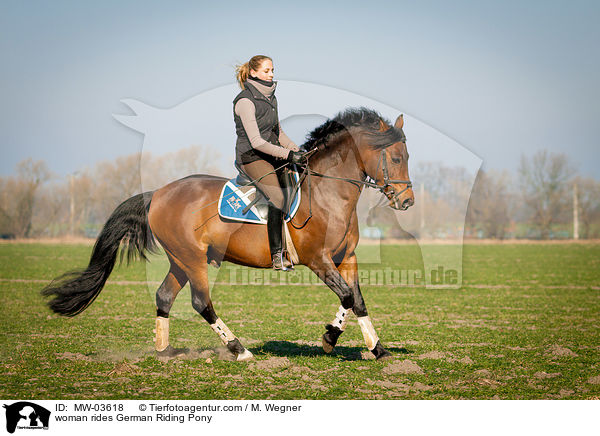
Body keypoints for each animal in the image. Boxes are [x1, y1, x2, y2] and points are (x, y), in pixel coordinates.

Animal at [42, 108, 414, 362]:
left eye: (406, 156)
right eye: (396, 157)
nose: (407, 201)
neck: (327, 193)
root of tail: (158, 193)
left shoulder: (346, 258)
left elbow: (358, 301)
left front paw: (378, 350)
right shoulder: (318, 260)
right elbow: (347, 298)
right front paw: (328, 339)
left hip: (180, 260)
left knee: (164, 296)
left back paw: (165, 352)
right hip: (192, 259)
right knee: (200, 302)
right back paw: (239, 349)